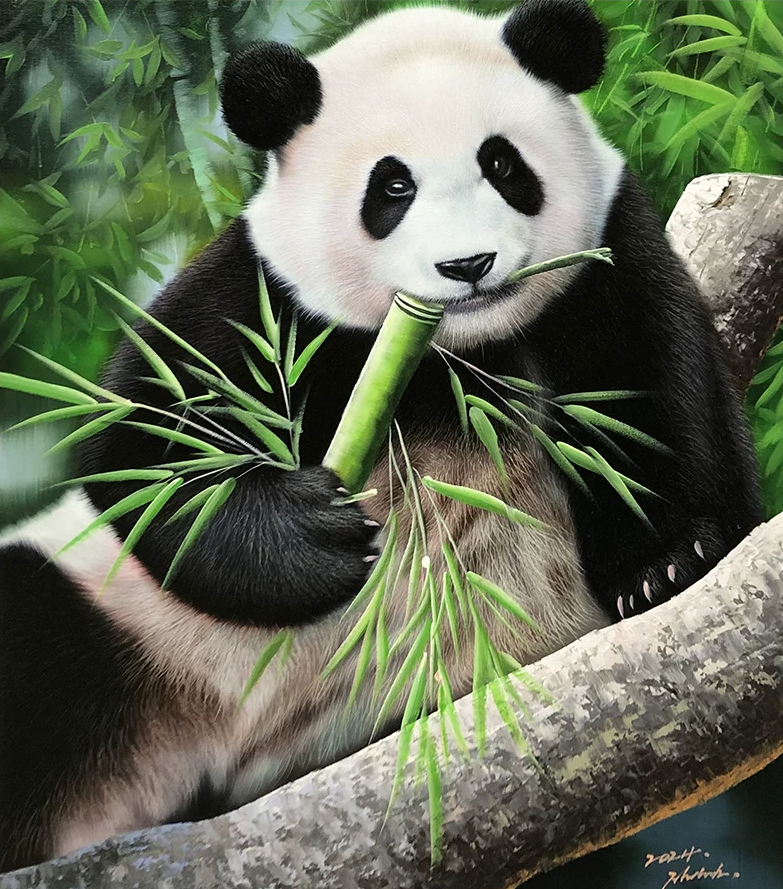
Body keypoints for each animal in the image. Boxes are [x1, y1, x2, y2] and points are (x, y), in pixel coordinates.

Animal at [0, 0, 762, 872]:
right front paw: (313, 536)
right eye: (391, 186)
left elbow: (658, 395)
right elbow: (143, 438)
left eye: (502, 164)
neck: (459, 354)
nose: (467, 265)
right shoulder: (266, 297)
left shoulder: (605, 264)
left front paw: (662, 561)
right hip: (122, 627)